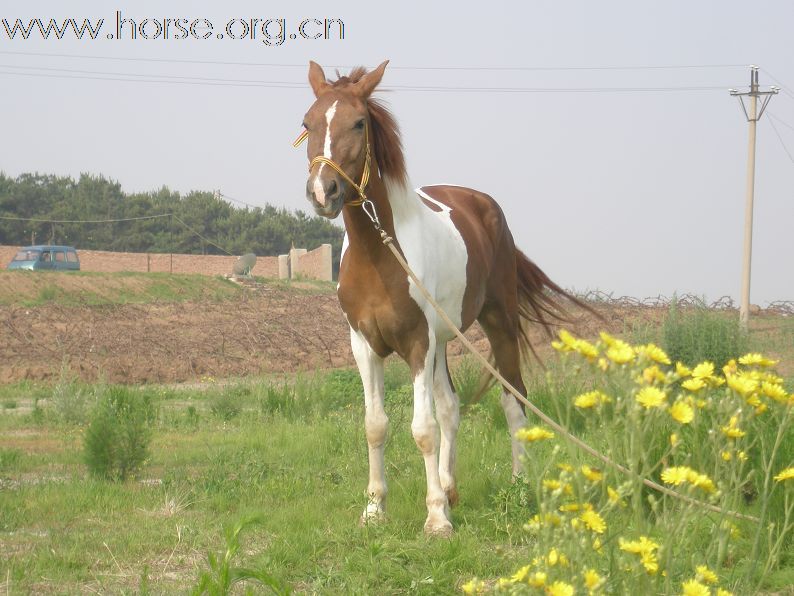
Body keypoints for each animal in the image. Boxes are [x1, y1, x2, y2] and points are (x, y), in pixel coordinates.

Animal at [296, 60, 580, 536]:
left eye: (359, 122)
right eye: (307, 123)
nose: (323, 192)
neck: (380, 253)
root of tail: (483, 205)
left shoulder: (417, 342)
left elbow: (422, 428)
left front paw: (435, 519)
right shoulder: (364, 345)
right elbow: (376, 425)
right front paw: (375, 509)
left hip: (496, 323)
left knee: (513, 399)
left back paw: (518, 484)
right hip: (445, 340)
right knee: (451, 407)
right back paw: (449, 489)